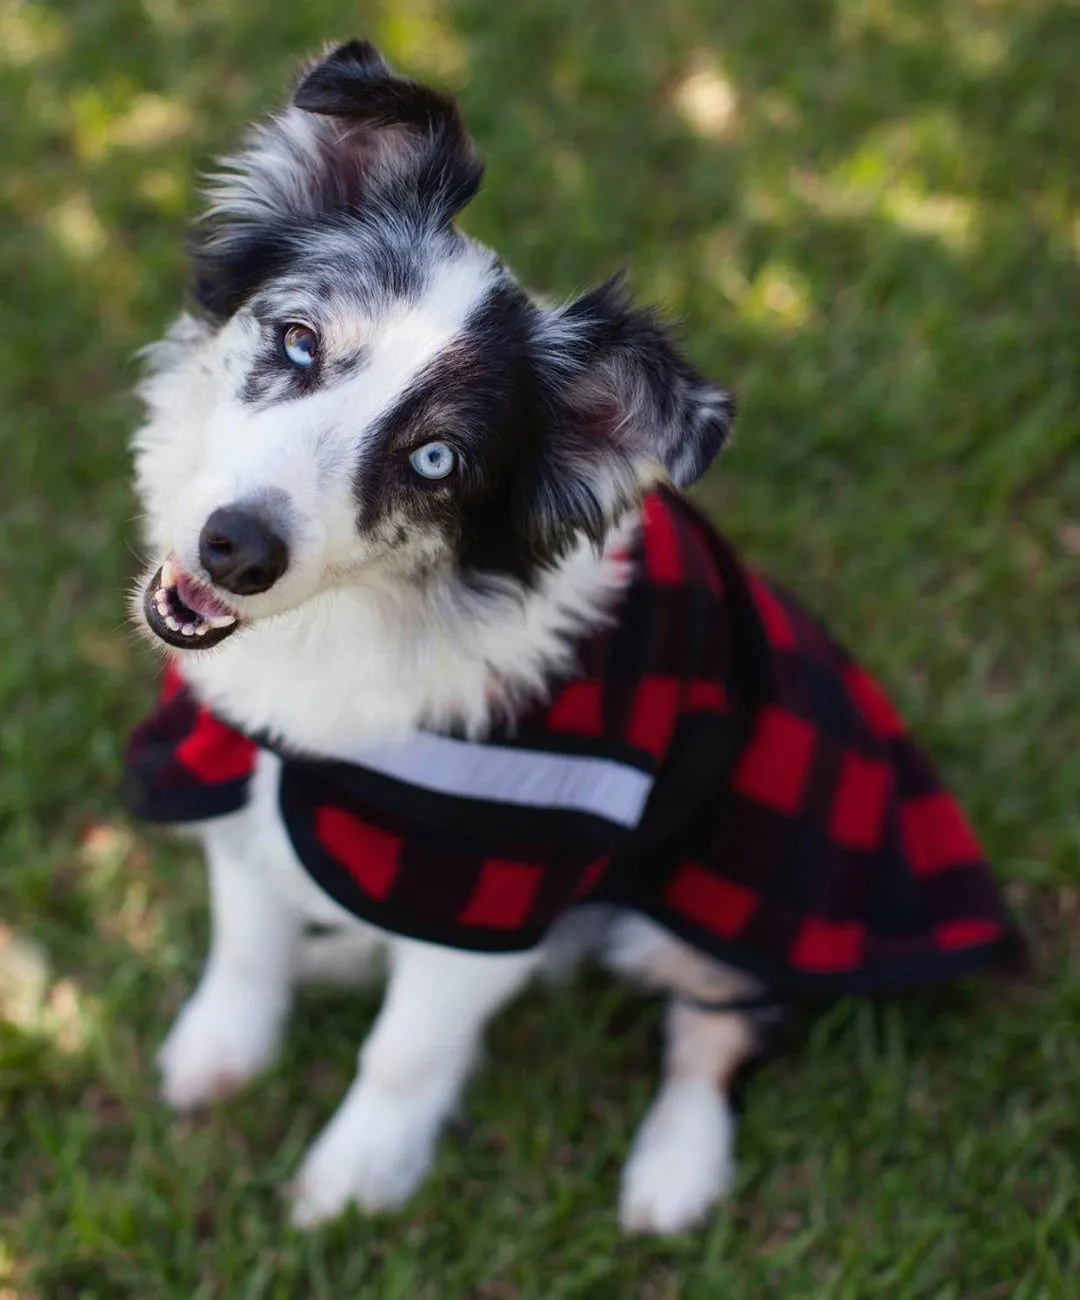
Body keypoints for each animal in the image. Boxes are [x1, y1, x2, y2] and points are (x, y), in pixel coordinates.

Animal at [122, 40, 1018, 1232]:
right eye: (298, 340)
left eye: (438, 460)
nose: (236, 550)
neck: (352, 627)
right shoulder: (234, 765)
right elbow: (246, 936)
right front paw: (218, 1053)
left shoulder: (500, 871)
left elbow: (408, 1050)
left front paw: (354, 1183)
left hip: (725, 907)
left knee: (723, 1028)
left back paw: (674, 1173)